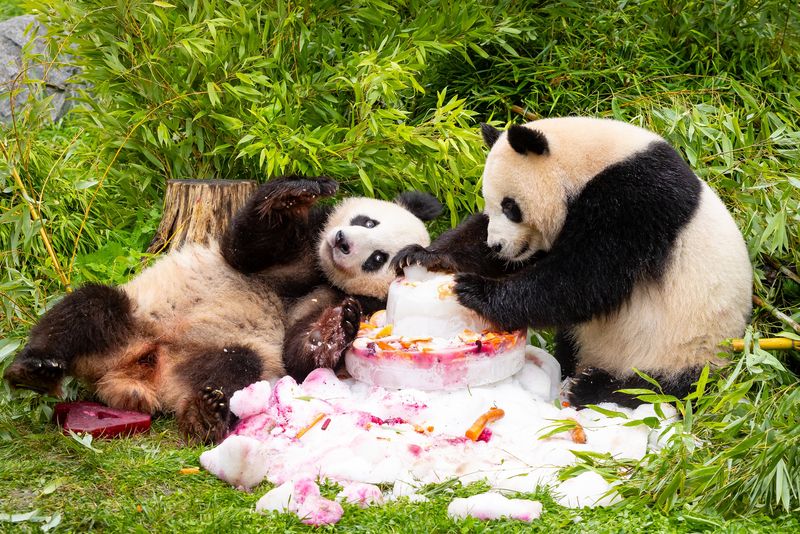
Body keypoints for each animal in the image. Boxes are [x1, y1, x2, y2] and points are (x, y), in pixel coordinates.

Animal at [4, 176, 442, 442]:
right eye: (367, 221)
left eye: (378, 258)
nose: (343, 242)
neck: (322, 268)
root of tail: (132, 377)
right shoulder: (303, 243)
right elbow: (243, 249)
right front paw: (293, 193)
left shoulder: (349, 297)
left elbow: (298, 354)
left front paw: (333, 329)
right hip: (134, 318)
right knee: (89, 308)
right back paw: (33, 368)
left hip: (211, 357)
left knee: (238, 364)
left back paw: (205, 414)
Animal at [394, 117, 752, 407]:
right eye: (490, 203)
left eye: (511, 206)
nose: (497, 245)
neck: (591, 161)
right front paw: (425, 255)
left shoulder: (635, 200)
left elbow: (588, 276)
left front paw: (476, 292)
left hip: (683, 347)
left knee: (655, 388)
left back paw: (592, 387)